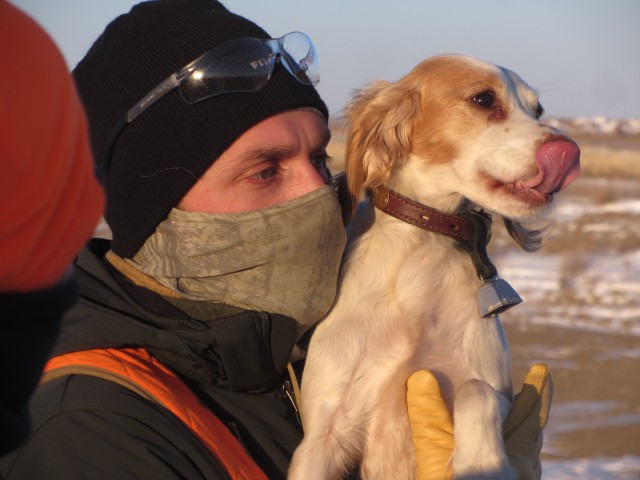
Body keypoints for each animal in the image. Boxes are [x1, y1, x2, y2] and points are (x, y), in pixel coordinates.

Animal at [288, 53, 580, 480]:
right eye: (483, 99)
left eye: (537, 109)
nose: (571, 153)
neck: (423, 251)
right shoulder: (322, 439)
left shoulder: (503, 399)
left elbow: (476, 392)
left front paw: (479, 461)